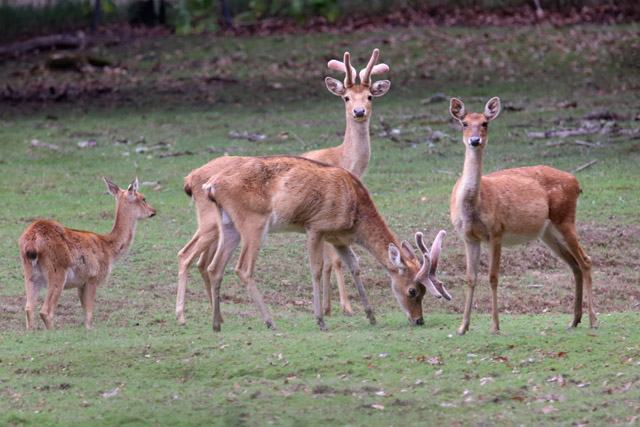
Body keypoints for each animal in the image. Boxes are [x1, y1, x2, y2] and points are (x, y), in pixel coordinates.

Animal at [19, 177, 157, 330]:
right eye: (143, 198)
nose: (154, 211)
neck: (109, 249)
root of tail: (31, 240)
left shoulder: (81, 282)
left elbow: (85, 312)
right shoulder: (93, 277)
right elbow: (89, 314)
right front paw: (90, 329)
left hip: (30, 273)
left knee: (28, 308)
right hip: (57, 269)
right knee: (45, 311)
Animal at [175, 49, 390, 324]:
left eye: (370, 95)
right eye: (346, 97)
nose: (359, 111)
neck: (343, 159)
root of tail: (190, 179)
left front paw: (330, 309)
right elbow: (334, 261)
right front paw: (342, 308)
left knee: (204, 261)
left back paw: (217, 317)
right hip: (211, 220)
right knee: (187, 255)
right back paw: (183, 315)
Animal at [199, 154, 448, 332]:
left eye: (424, 291)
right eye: (412, 290)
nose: (419, 320)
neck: (355, 215)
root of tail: (210, 185)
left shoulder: (338, 237)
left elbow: (354, 266)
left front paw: (372, 316)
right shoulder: (315, 227)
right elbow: (316, 269)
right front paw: (320, 320)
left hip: (228, 224)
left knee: (214, 267)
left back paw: (216, 323)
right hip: (253, 221)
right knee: (242, 268)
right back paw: (270, 322)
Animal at [448, 97, 595, 335]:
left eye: (485, 123)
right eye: (464, 123)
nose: (475, 140)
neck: (473, 206)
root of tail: (576, 182)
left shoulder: (496, 231)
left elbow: (493, 277)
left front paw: (495, 326)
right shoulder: (468, 237)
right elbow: (471, 278)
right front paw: (463, 327)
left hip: (565, 219)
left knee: (585, 260)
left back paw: (593, 320)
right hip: (548, 232)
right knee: (574, 265)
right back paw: (574, 320)